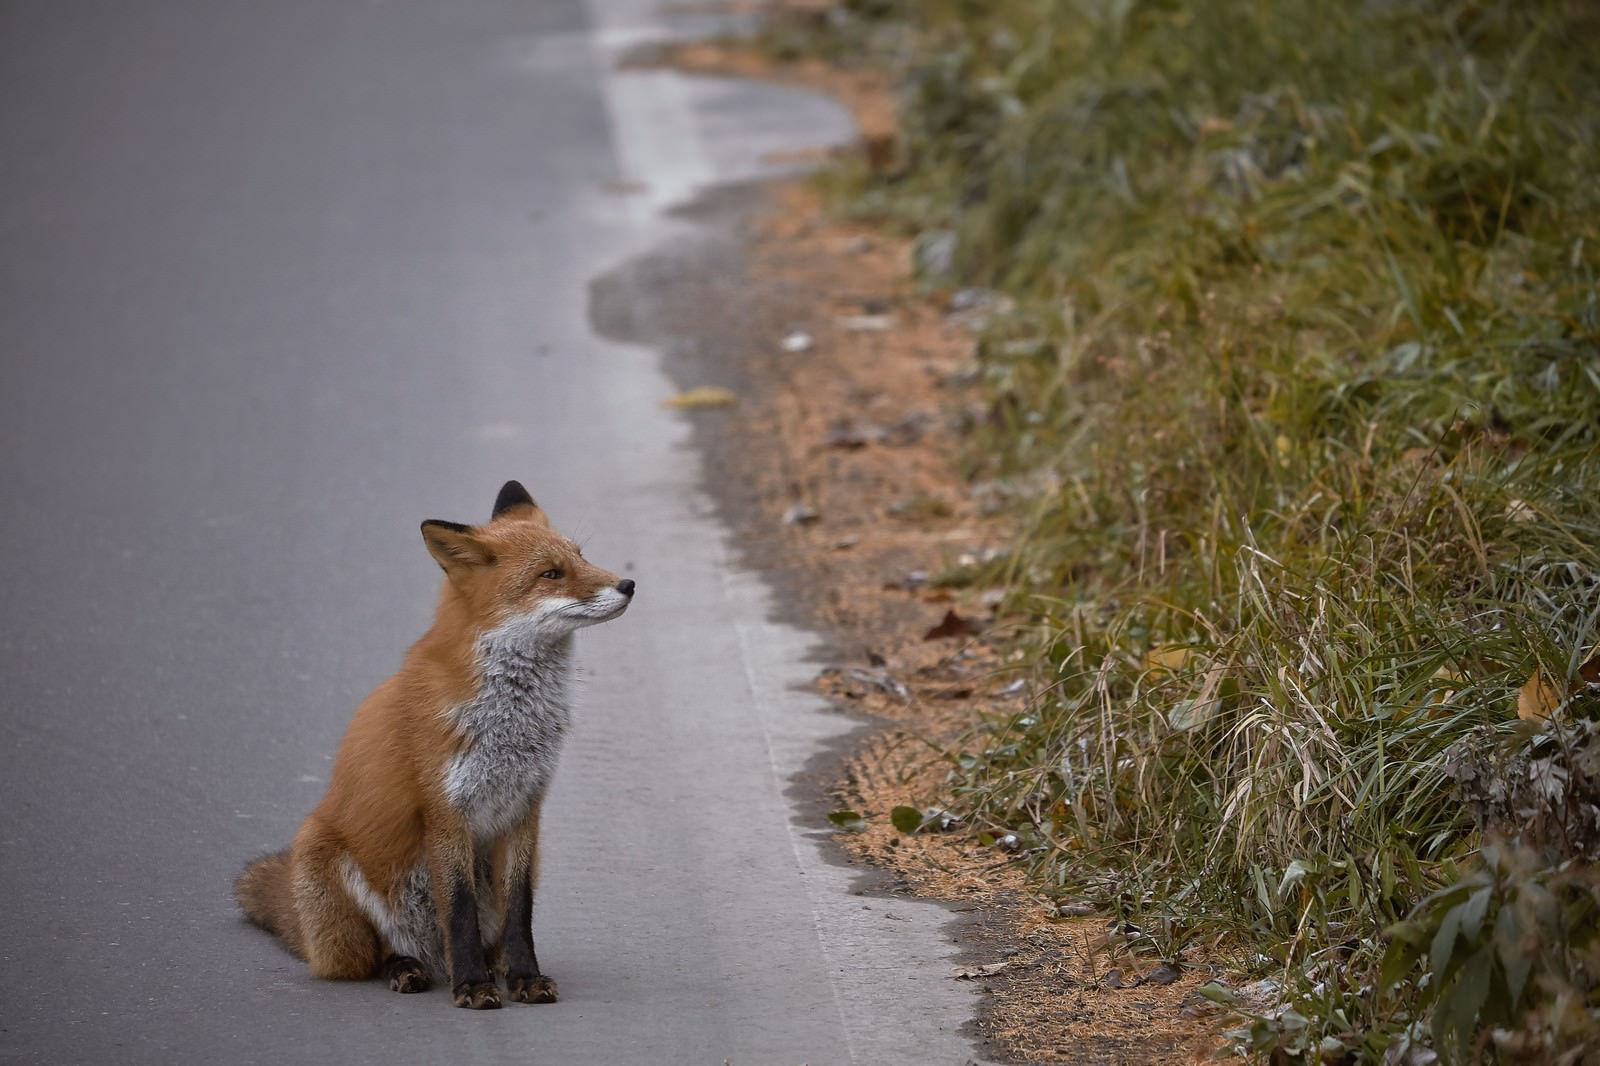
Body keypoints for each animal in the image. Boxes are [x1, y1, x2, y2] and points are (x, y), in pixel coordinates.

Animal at [233, 480, 633, 1005]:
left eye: (581, 556)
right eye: (551, 574)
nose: (628, 585)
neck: (511, 722)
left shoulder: (524, 810)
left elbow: (519, 911)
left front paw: (525, 977)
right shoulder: (446, 812)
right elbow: (458, 911)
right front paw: (473, 987)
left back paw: (485, 965)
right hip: (323, 854)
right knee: (376, 952)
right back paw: (409, 967)